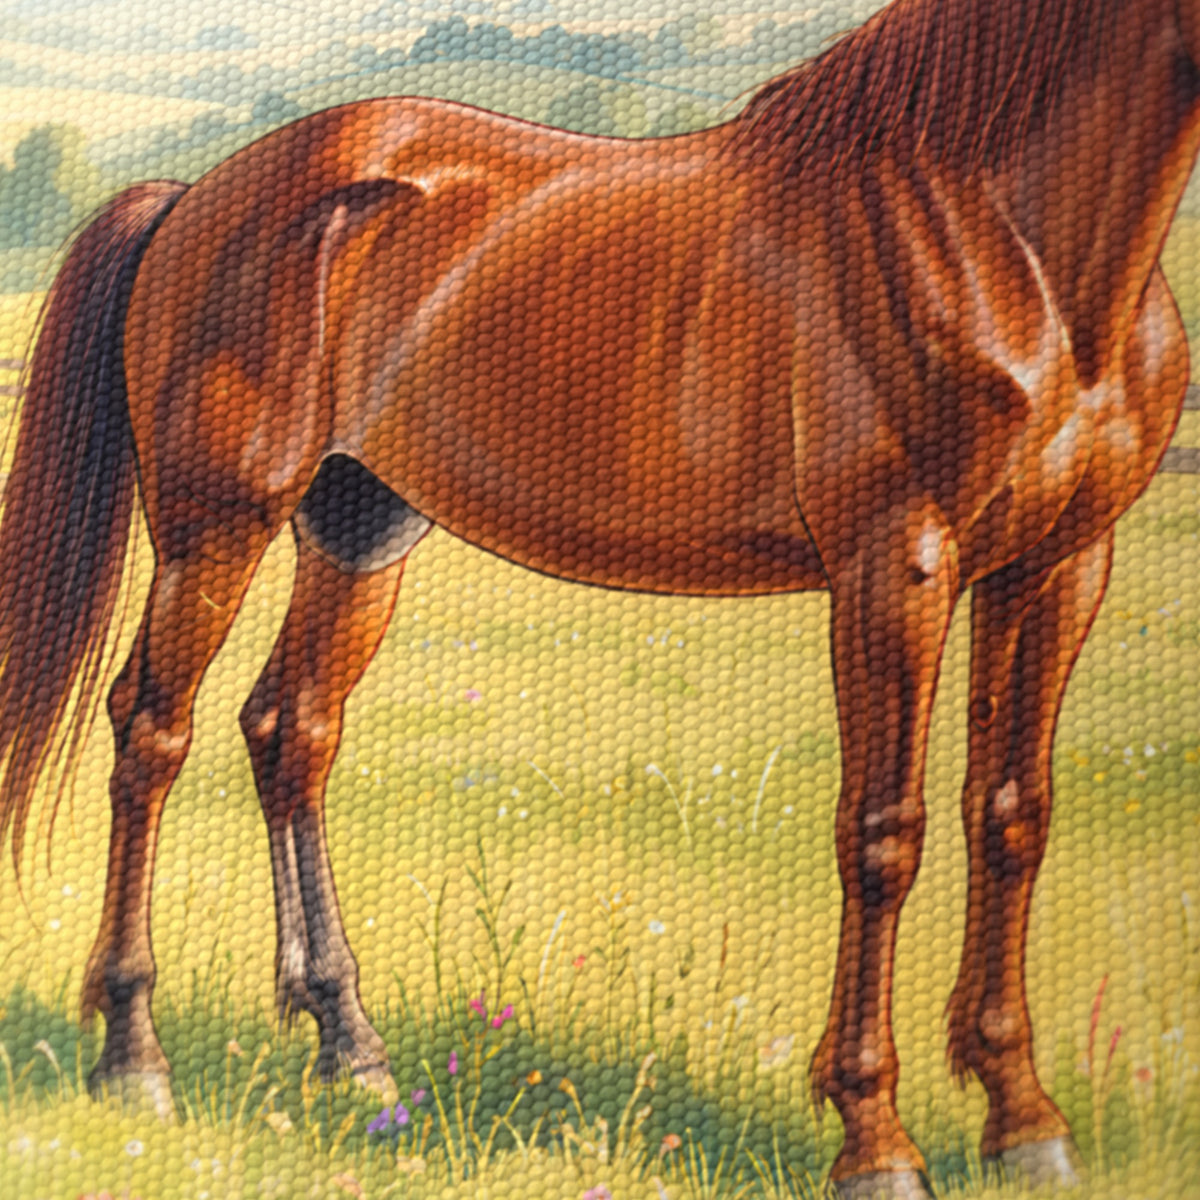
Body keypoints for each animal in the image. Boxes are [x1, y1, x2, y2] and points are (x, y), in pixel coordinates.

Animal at [1, 0, 1198, 1194]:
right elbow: (883, 835)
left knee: (291, 732)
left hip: (359, 532)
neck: (998, 234)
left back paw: (351, 1049)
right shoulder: (895, 563)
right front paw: (874, 1137)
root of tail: (195, 197)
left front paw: (1024, 1118)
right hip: (217, 528)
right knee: (151, 736)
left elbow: (1011, 816)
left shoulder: (1058, 566)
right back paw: (132, 1058)